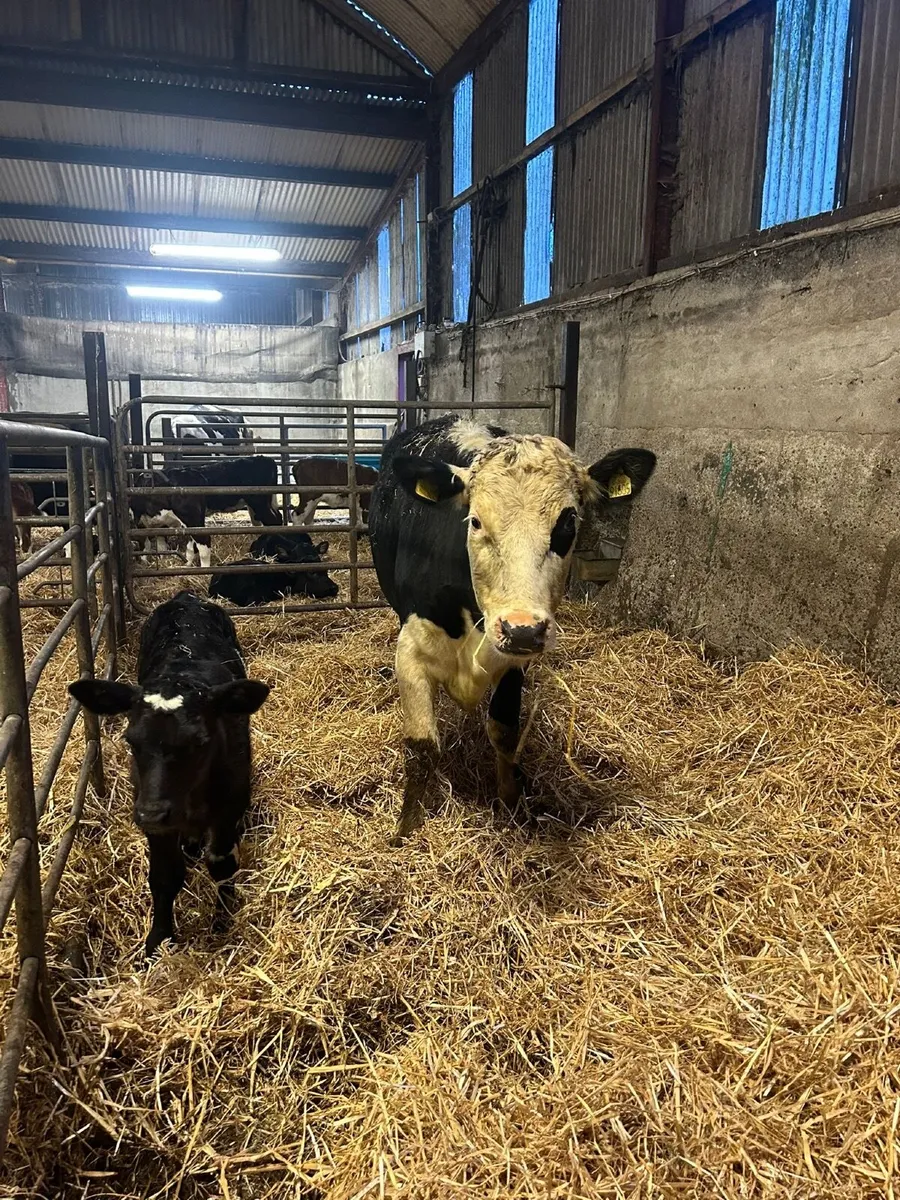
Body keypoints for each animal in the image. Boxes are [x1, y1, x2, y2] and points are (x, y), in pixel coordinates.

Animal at [68, 592, 270, 956]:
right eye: (130, 740)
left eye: (200, 741)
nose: (152, 813)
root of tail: (186, 595)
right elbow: (164, 875)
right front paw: (158, 939)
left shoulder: (229, 806)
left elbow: (222, 863)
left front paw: (223, 920)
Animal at [369, 415, 657, 844]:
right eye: (475, 521)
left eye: (567, 524)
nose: (522, 630)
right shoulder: (411, 652)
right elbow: (421, 746)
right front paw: (407, 828)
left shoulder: (513, 663)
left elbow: (504, 732)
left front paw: (511, 801)